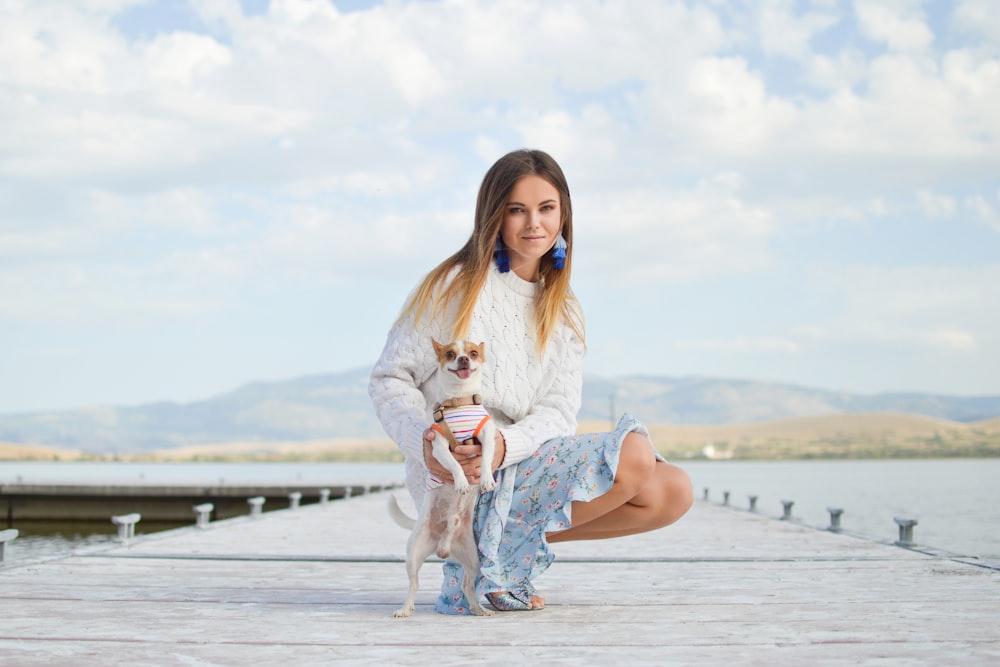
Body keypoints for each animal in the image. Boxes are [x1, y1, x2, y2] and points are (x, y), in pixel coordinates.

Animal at [392, 342, 498, 620]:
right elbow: (453, 464)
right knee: (414, 584)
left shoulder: (488, 436)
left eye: (473, 353)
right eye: (450, 354)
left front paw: (485, 479)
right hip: (414, 554)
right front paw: (460, 481)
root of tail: (443, 544)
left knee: (467, 584)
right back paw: (405, 608)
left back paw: (478, 609)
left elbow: (486, 458)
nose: (463, 359)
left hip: (472, 559)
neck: (460, 402)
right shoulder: (438, 446)